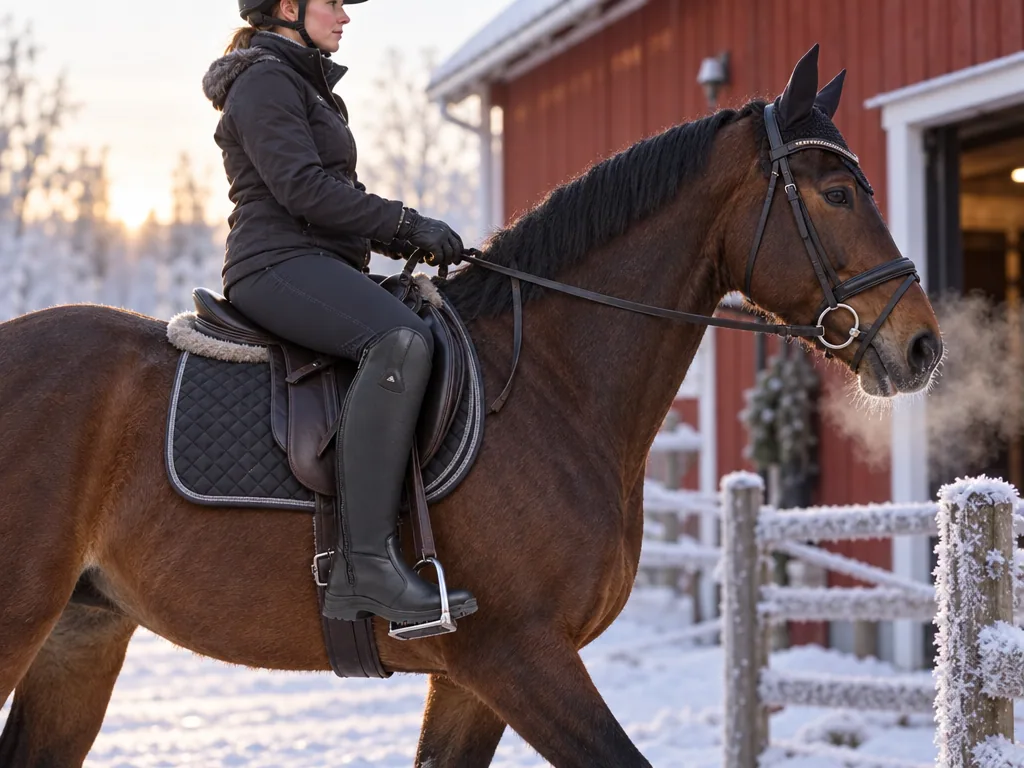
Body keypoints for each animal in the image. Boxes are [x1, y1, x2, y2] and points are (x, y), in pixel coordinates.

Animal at [0, 45, 942, 767]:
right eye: (834, 194)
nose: (922, 347)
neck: (555, 387)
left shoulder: (473, 681)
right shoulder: (520, 656)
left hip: (80, 637)